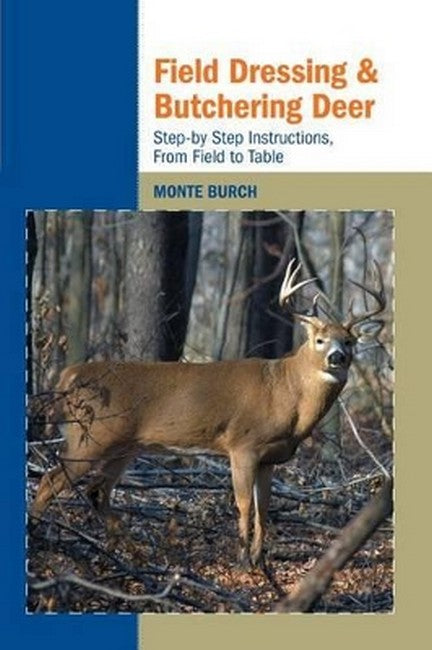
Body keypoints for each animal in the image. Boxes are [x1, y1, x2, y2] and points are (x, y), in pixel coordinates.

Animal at [30, 259, 386, 568]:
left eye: (350, 340)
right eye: (320, 339)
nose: (337, 357)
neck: (287, 392)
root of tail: (69, 376)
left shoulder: (269, 457)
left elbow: (264, 508)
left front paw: (259, 560)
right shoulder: (242, 444)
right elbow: (244, 504)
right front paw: (243, 561)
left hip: (123, 446)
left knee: (96, 492)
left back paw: (129, 553)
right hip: (89, 436)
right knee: (50, 481)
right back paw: (40, 540)